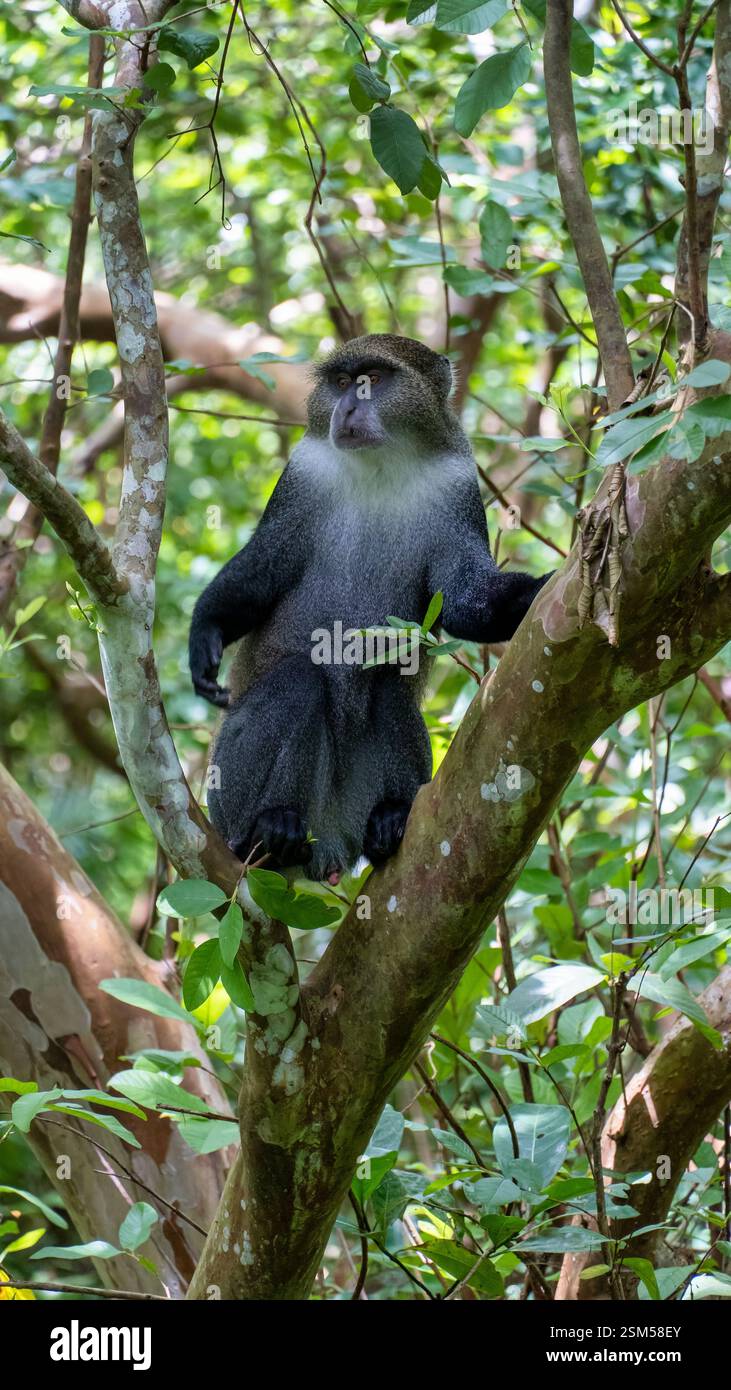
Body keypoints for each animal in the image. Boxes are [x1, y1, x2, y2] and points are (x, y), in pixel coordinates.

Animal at [189, 334, 551, 884]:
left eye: (373, 380)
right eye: (341, 382)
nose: (347, 407)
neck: (384, 462)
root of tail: (331, 842)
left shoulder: (456, 485)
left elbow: (464, 599)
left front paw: (535, 592)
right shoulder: (301, 478)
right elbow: (261, 571)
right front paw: (204, 637)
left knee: (387, 684)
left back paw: (390, 820)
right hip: (226, 788)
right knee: (298, 681)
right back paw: (269, 830)